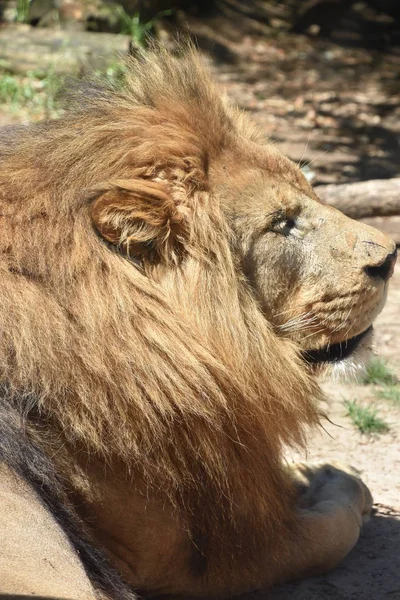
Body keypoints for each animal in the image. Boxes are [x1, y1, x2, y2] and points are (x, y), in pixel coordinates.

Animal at [0, 48, 396, 600]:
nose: (391, 257)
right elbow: (331, 530)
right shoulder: (201, 559)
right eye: (281, 223)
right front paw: (338, 481)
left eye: (311, 189)